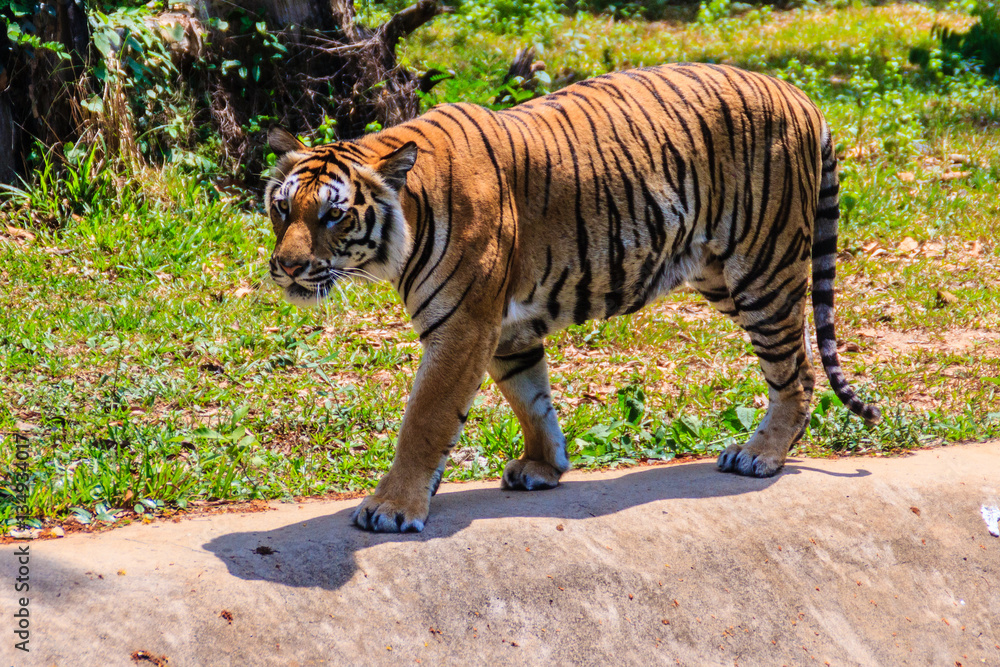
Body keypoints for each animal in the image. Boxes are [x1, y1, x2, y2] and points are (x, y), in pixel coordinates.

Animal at [264, 62, 880, 533]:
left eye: (332, 215)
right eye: (282, 208)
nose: (287, 267)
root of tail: (799, 93)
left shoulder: (462, 326)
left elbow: (427, 418)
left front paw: (392, 508)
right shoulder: (505, 330)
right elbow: (531, 399)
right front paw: (544, 466)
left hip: (763, 269)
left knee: (796, 370)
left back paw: (760, 455)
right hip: (720, 276)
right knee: (797, 358)